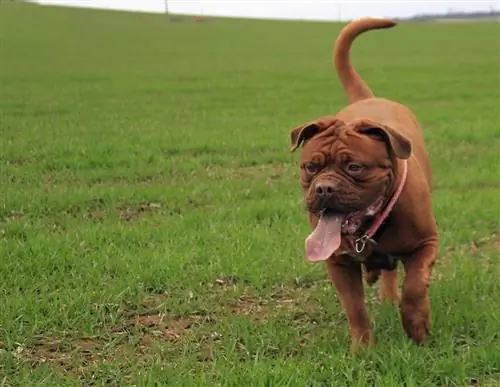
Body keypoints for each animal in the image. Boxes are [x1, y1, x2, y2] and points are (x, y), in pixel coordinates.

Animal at [290, 17, 438, 352]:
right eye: (311, 167)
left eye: (354, 167)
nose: (324, 188)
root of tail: (367, 99)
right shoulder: (338, 263)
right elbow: (354, 307)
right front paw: (362, 350)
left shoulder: (427, 243)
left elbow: (414, 285)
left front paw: (417, 326)